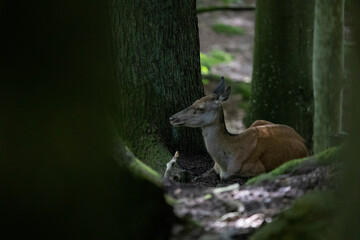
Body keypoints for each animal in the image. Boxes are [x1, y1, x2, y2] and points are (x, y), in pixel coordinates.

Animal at [168, 77, 306, 180]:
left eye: (200, 108)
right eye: (195, 101)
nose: (172, 118)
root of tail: (302, 140)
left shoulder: (258, 169)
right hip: (258, 121)